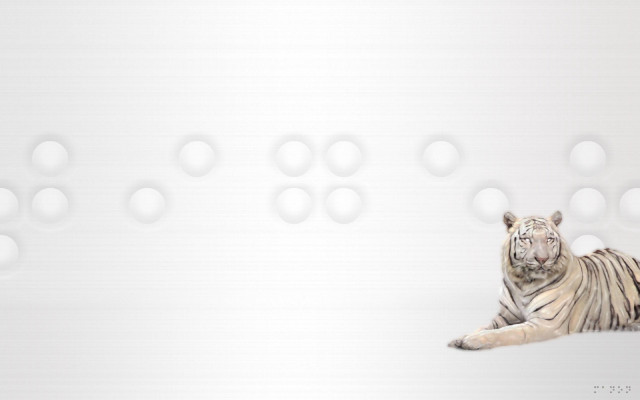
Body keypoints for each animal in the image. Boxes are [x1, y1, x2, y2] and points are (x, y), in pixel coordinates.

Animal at [448, 210, 640, 350]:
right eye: (527, 239)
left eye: (549, 239)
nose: (542, 259)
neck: (522, 283)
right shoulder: (504, 317)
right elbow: (484, 327)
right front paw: (461, 338)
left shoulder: (544, 324)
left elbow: (505, 333)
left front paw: (472, 341)